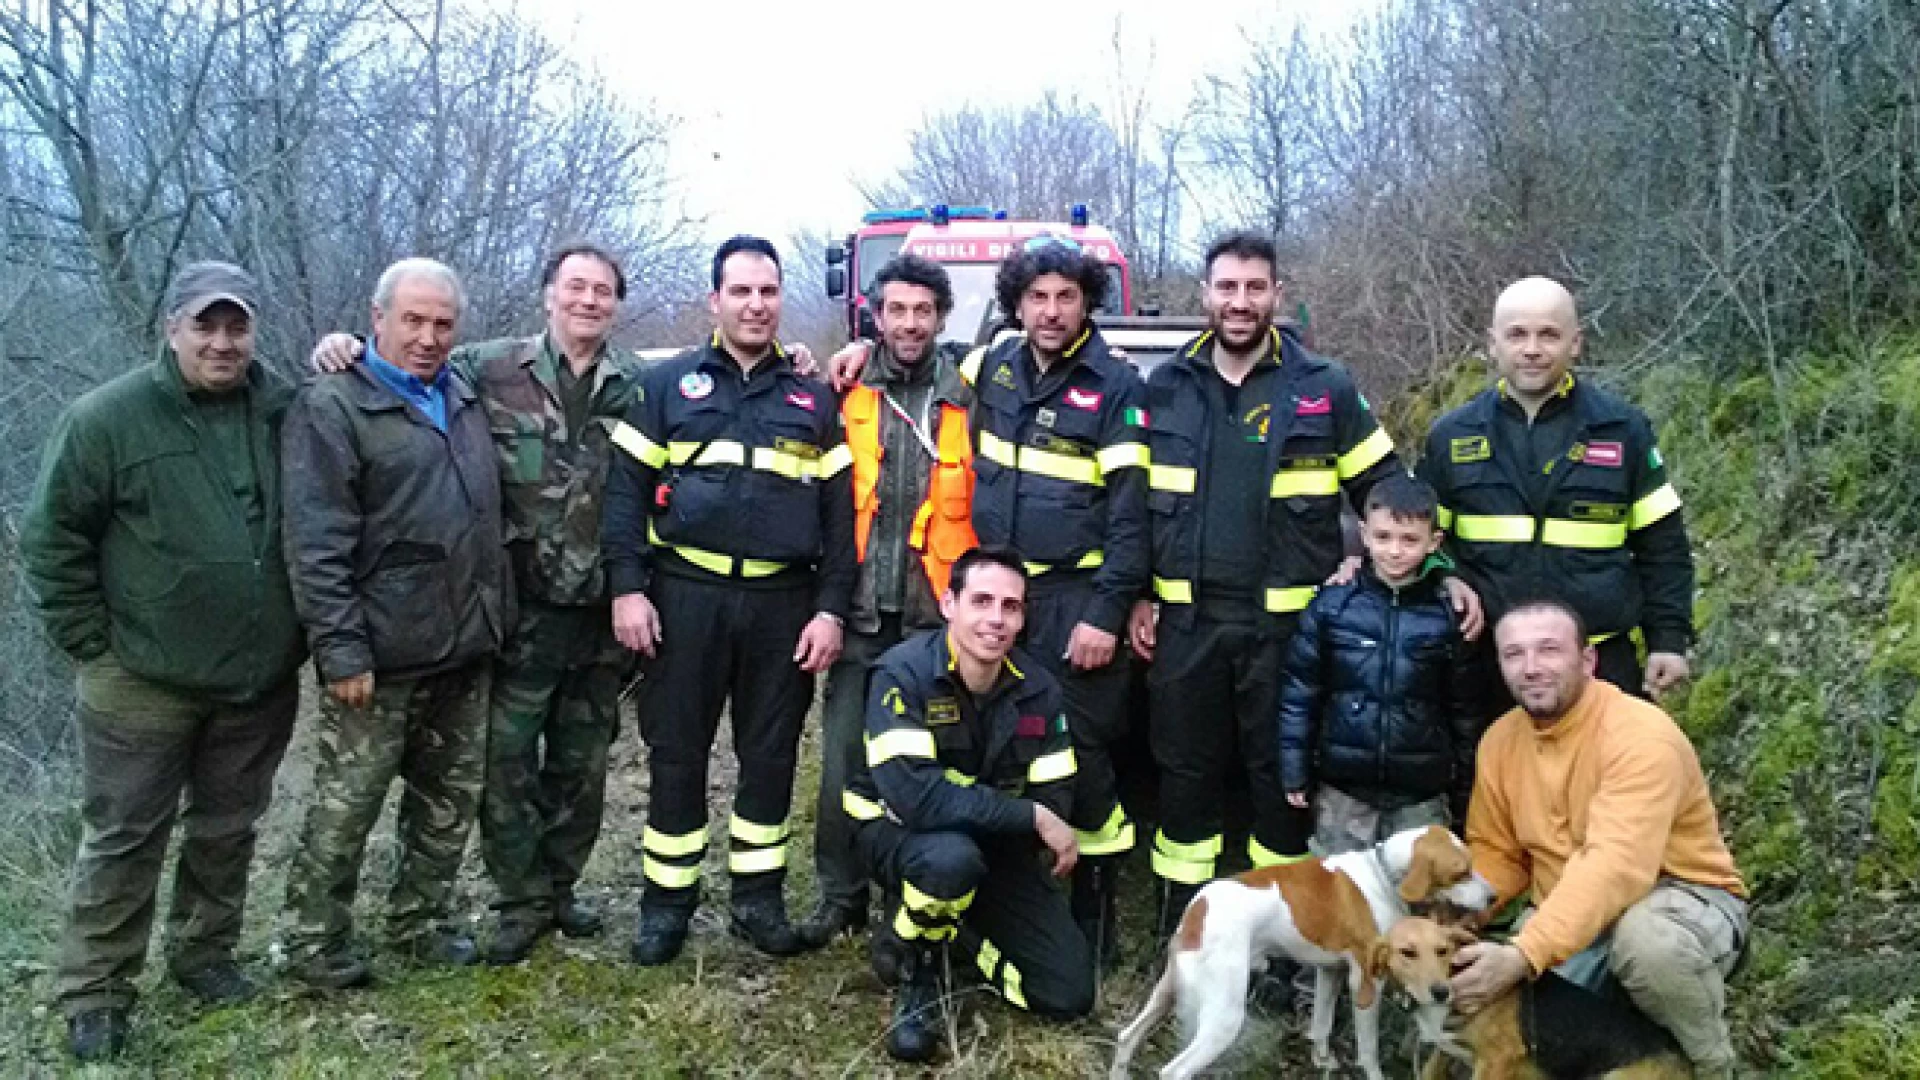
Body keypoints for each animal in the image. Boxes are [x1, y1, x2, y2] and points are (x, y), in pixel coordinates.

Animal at [1105, 822, 1489, 1076]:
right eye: (1462, 871)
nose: (1493, 896)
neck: (1381, 874)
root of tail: (1199, 906)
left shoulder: (1330, 972)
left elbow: (1321, 1023)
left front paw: (1322, 1059)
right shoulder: (1367, 983)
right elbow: (1368, 1050)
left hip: (1164, 995)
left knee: (1125, 1039)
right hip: (1223, 1019)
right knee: (1172, 1071)